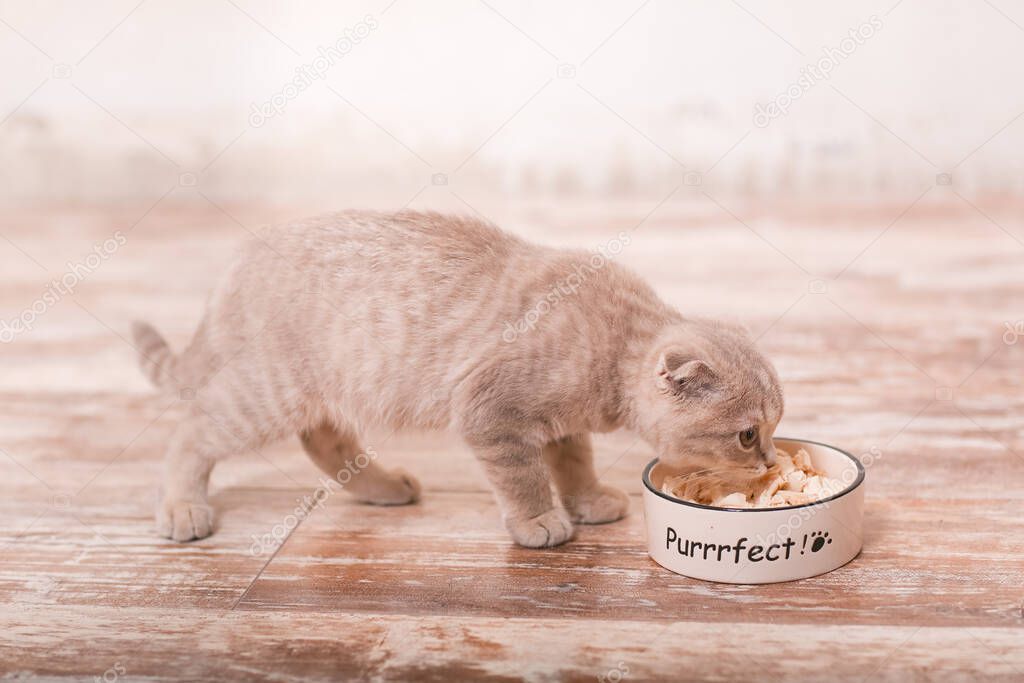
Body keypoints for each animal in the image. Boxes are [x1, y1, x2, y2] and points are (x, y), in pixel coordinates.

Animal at [132, 210, 778, 548]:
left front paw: (587, 498)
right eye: (748, 435)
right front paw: (539, 520)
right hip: (268, 393)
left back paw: (383, 486)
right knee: (192, 431)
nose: (772, 461)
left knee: (325, 440)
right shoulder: (488, 409)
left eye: (775, 428)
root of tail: (240, 260)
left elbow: (573, 461)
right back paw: (182, 506)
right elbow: (524, 476)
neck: (617, 340)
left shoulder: (560, 423)